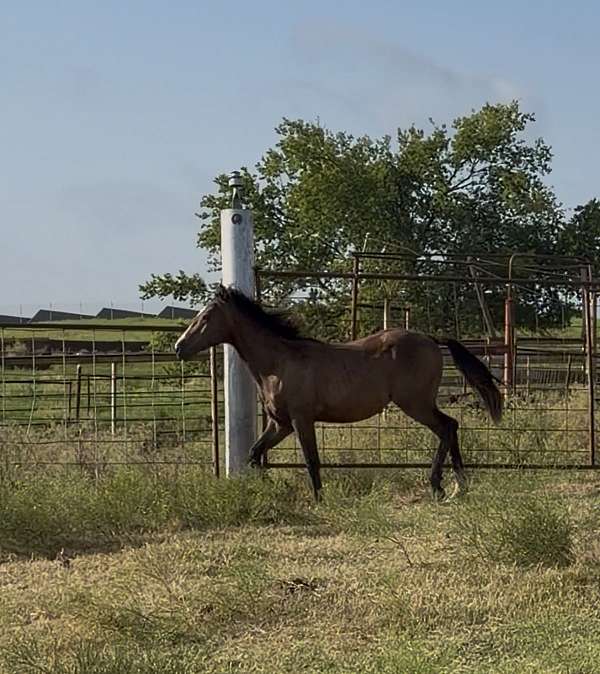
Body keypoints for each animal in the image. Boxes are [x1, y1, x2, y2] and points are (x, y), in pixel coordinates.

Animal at [175, 285, 502, 500]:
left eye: (205, 318)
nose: (179, 347)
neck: (278, 363)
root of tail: (431, 339)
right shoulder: (280, 423)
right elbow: (255, 453)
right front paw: (272, 488)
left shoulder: (301, 419)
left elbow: (311, 459)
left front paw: (319, 498)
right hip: (419, 404)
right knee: (451, 427)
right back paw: (459, 486)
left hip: (416, 404)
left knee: (447, 426)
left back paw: (439, 486)